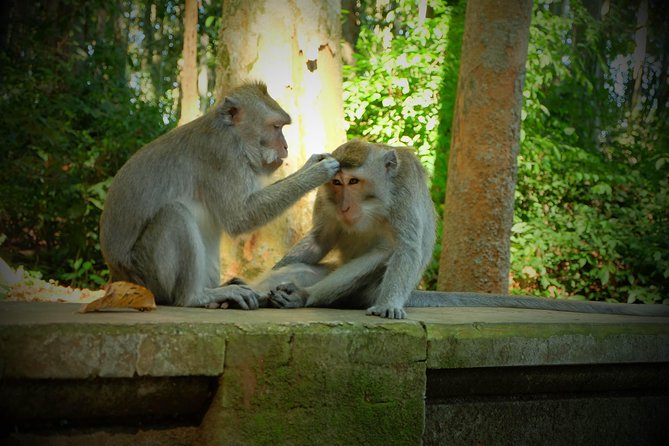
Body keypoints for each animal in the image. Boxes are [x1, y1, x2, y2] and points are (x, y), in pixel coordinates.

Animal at [99, 81, 340, 309]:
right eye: (276, 127)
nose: (286, 146)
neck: (233, 134)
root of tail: (116, 276)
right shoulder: (223, 156)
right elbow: (240, 217)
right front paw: (318, 172)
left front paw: (313, 162)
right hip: (147, 276)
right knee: (175, 214)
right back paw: (196, 296)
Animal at [253, 139, 669, 319]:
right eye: (337, 183)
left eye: (354, 182)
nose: (344, 204)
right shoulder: (324, 201)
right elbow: (321, 238)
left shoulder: (404, 191)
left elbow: (406, 248)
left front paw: (388, 306)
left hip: (366, 290)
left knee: (384, 255)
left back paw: (305, 296)